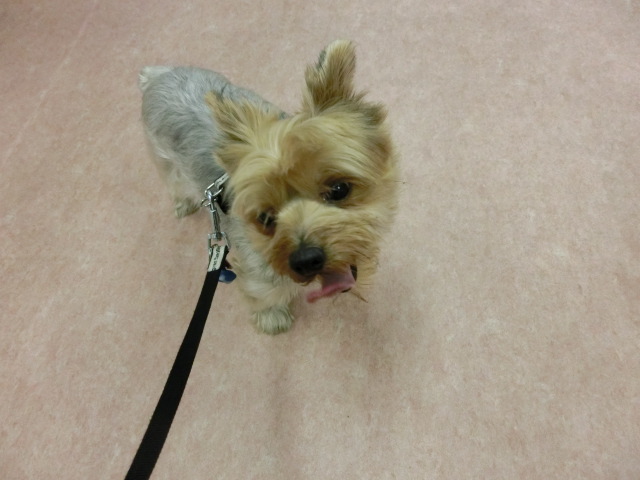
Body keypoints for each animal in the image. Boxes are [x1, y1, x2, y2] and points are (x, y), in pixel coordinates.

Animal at [139, 40, 398, 334]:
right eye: (265, 218)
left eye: (340, 189)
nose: (306, 259)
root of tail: (159, 75)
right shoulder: (257, 273)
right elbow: (263, 295)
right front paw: (272, 318)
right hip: (163, 157)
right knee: (174, 182)